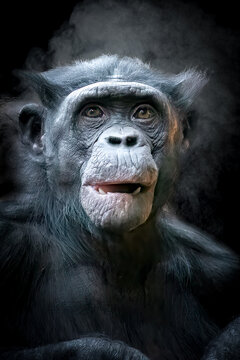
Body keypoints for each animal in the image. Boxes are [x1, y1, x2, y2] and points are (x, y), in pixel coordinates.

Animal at [0, 55, 239, 360]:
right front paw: (110, 353)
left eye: (143, 113)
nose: (123, 138)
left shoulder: (221, 271)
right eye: (92, 112)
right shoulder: (9, 239)